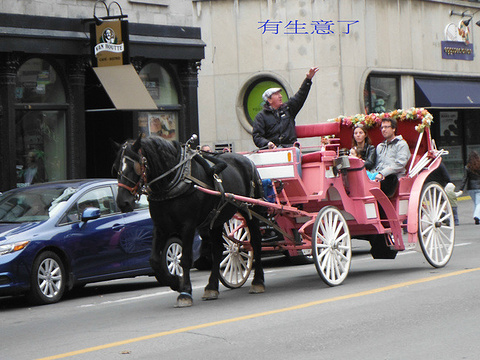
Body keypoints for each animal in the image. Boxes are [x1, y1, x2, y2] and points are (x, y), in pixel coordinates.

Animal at [113, 135, 266, 306]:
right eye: (116, 167)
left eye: (135, 166)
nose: (122, 202)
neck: (172, 181)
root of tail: (246, 159)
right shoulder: (160, 226)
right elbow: (154, 260)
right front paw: (175, 282)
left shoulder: (187, 226)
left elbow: (185, 259)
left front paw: (185, 292)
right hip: (217, 219)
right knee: (218, 250)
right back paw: (211, 287)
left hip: (251, 210)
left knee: (256, 243)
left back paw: (258, 281)